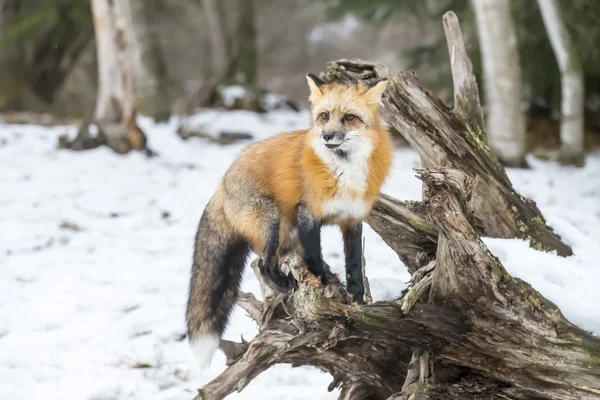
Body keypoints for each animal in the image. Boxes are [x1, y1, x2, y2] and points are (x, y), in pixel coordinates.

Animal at [188, 72, 394, 368]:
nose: (327, 135)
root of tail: (222, 184)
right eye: (324, 116)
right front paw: (325, 284)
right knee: (264, 263)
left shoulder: (353, 218)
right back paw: (285, 284)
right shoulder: (307, 213)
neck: (344, 172)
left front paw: (356, 298)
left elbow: (354, 263)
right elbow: (314, 257)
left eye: (349, 117)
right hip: (271, 221)